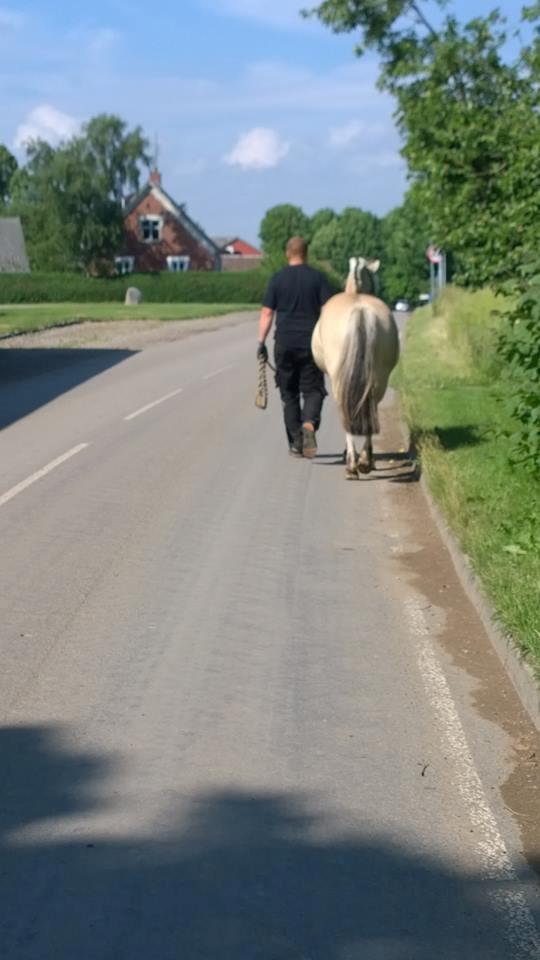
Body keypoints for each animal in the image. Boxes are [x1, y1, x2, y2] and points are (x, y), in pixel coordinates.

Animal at [310, 256, 398, 478]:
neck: (354, 293)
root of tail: (360, 310)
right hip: (379, 377)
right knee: (369, 407)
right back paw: (364, 461)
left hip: (340, 379)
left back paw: (354, 464)